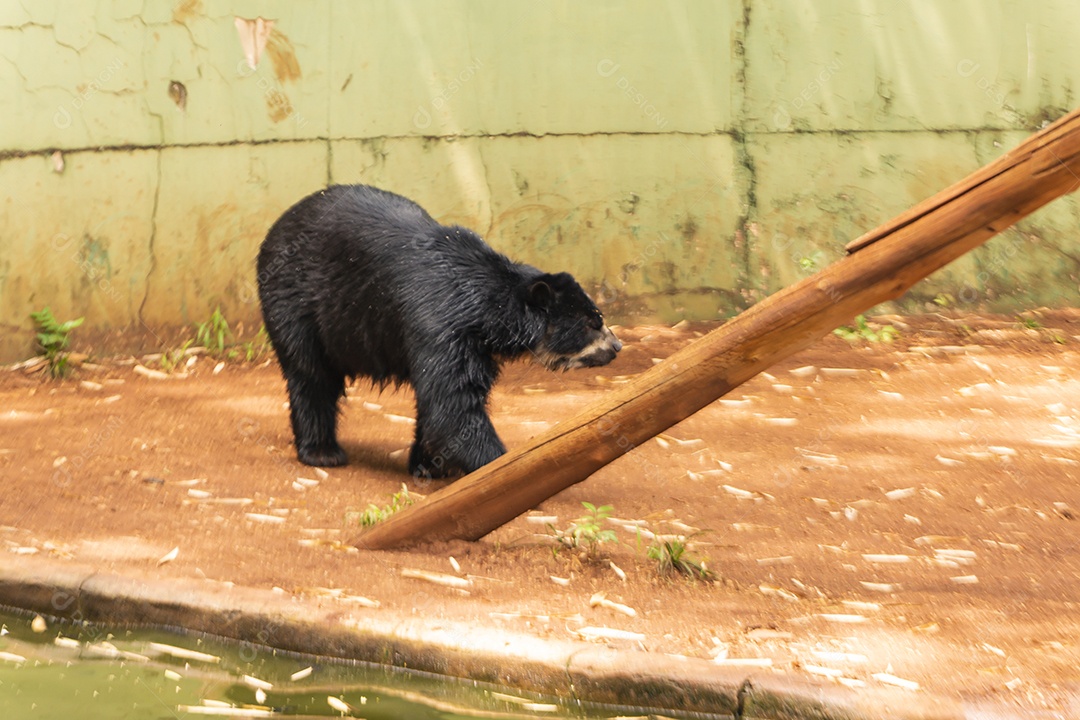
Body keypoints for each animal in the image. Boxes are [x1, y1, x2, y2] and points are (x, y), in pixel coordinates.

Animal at [256, 184, 622, 478]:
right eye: (593, 322)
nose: (617, 346)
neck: (486, 306)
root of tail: (277, 225)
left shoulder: (473, 344)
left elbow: (444, 401)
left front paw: (428, 466)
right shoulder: (438, 324)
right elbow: (452, 405)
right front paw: (499, 464)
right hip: (295, 300)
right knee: (311, 374)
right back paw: (322, 452)